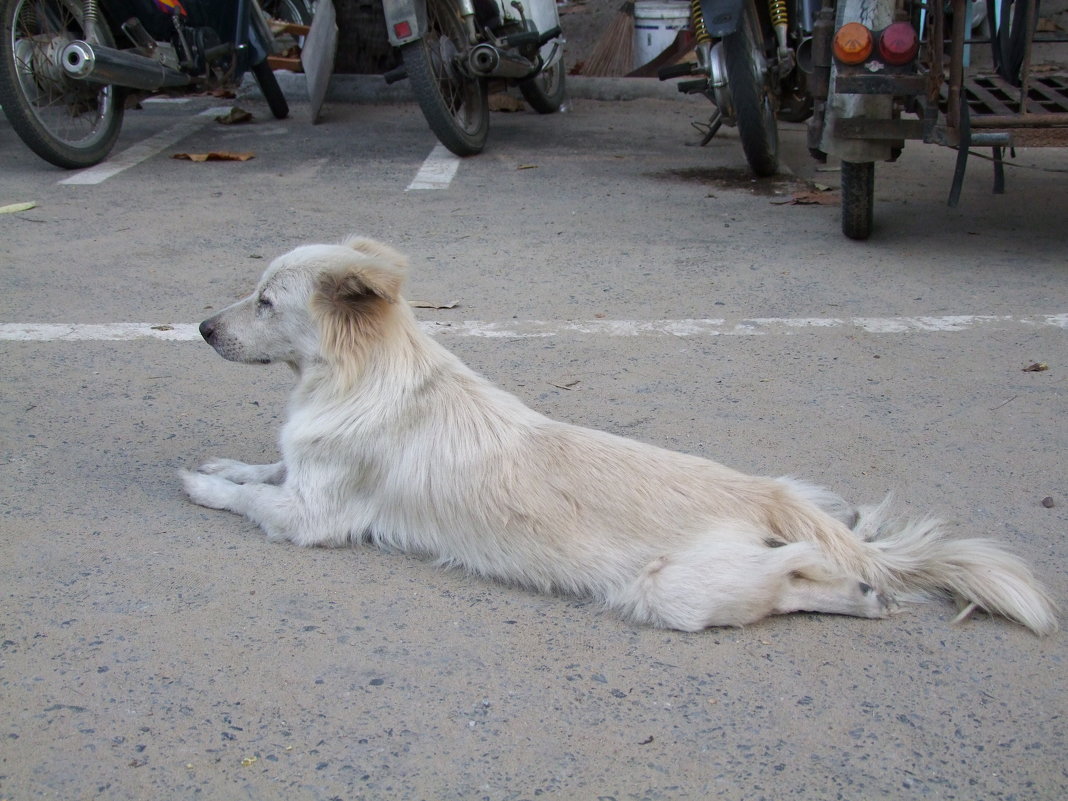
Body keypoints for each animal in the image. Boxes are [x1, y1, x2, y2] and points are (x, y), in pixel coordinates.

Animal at [183, 234, 1059, 636]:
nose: (199, 328)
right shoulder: (301, 477)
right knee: (815, 575)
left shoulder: (313, 518)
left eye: (265, 301)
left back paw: (847, 578)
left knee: (792, 574)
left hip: (671, 591)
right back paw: (861, 592)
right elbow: (261, 468)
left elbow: (245, 498)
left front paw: (200, 483)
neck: (363, 376)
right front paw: (223, 460)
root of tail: (763, 492)